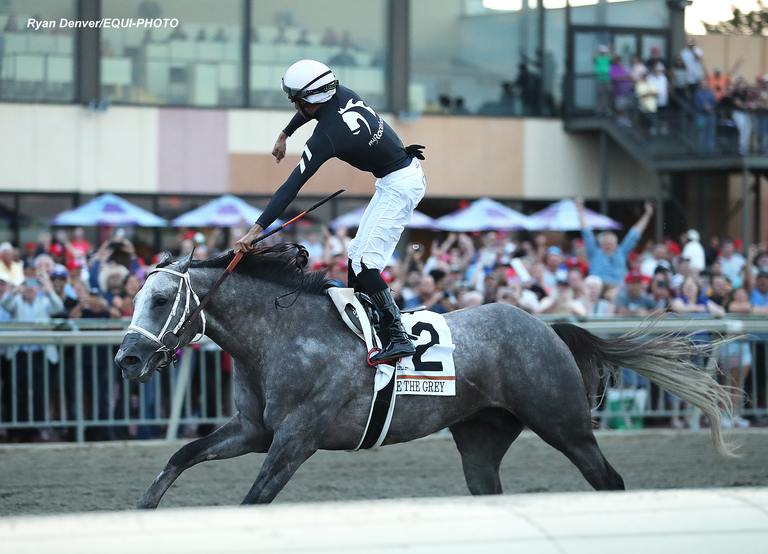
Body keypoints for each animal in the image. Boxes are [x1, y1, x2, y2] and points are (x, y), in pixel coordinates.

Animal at [114, 244, 732, 506]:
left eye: (162, 298)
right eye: (137, 296)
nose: (126, 359)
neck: (279, 336)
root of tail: (548, 327)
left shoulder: (295, 438)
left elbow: (254, 498)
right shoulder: (252, 430)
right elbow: (180, 457)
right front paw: (143, 508)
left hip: (566, 424)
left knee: (609, 481)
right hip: (482, 438)